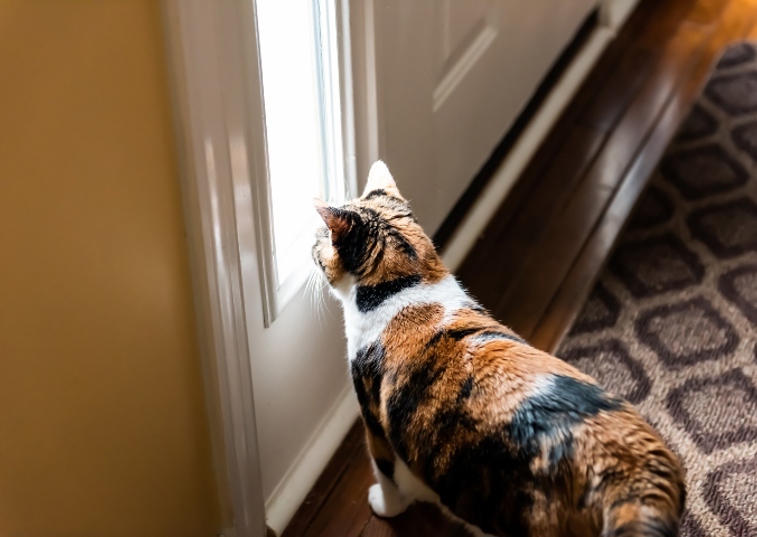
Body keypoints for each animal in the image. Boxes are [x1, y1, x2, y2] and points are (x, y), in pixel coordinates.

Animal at [308, 161, 684, 532]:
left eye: (323, 237)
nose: (312, 242)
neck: (405, 283)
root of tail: (633, 477)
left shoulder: (373, 419)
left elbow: (387, 476)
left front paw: (385, 506)